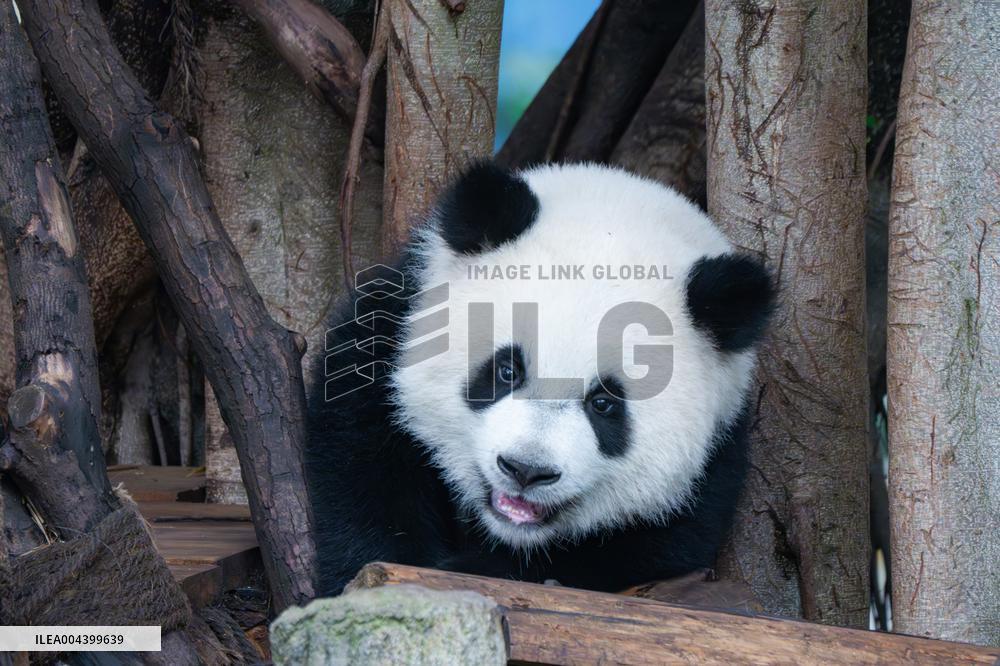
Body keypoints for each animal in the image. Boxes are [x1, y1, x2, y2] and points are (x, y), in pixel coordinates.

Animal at [307, 162, 775, 596]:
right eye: (507, 370)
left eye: (603, 403)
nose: (526, 470)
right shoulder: (384, 336)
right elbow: (359, 466)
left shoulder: (717, 455)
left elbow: (657, 543)